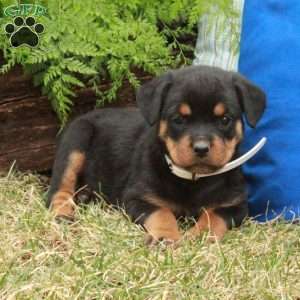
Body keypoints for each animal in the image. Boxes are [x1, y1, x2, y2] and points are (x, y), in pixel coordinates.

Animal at [48, 65, 266, 244]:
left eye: (225, 119)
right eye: (178, 119)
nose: (201, 148)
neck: (193, 180)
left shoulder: (235, 205)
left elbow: (213, 217)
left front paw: (199, 236)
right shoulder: (139, 197)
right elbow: (162, 213)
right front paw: (165, 237)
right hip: (77, 138)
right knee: (59, 188)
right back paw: (64, 212)